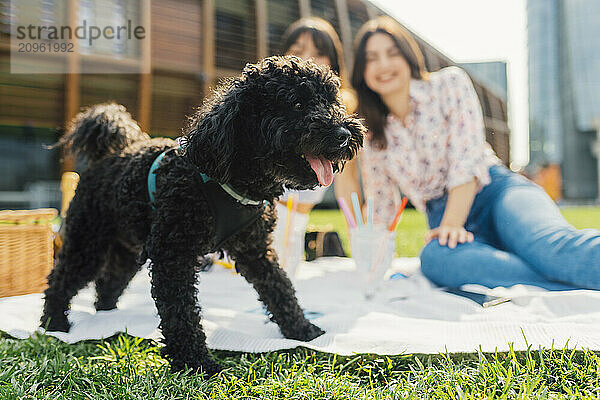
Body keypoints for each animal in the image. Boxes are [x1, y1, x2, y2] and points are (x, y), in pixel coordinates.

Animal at [41, 56, 366, 376]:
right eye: (297, 104)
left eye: (331, 101)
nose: (344, 135)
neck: (235, 181)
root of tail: (108, 154)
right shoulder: (173, 254)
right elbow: (180, 311)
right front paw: (195, 362)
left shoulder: (256, 250)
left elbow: (280, 288)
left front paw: (302, 330)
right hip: (88, 241)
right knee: (62, 280)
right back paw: (54, 323)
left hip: (127, 249)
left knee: (109, 281)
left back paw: (107, 316)